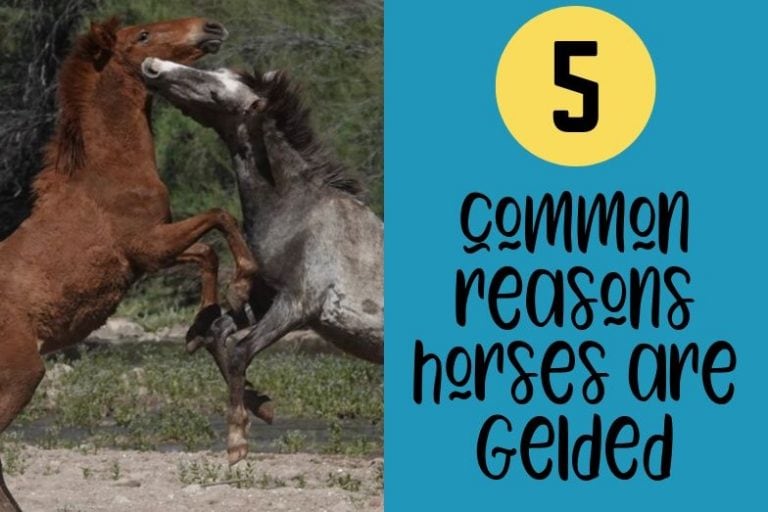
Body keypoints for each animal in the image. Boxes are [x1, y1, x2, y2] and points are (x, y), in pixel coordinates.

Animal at [0, 19, 259, 511]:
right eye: (142, 36)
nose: (210, 27)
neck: (110, 171)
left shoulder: (152, 254)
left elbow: (206, 252)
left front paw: (198, 329)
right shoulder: (147, 245)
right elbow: (221, 219)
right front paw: (242, 286)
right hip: (21, 375)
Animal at [141, 58, 384, 464]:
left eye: (217, 91)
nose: (153, 66)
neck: (299, 213)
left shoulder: (297, 306)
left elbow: (240, 351)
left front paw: (237, 440)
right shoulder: (265, 299)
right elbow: (217, 333)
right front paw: (262, 406)